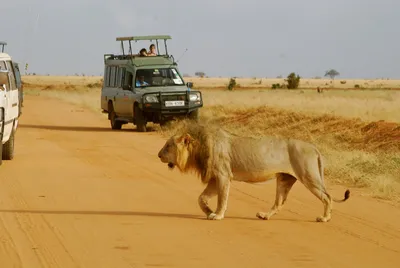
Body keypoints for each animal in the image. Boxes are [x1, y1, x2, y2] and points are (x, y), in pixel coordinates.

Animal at [157, 121, 350, 222]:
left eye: (167, 146)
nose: (158, 155)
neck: (198, 147)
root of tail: (314, 147)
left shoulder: (223, 175)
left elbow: (222, 198)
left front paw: (218, 215)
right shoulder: (215, 177)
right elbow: (201, 198)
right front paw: (208, 211)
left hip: (308, 176)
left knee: (327, 197)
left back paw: (324, 218)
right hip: (285, 179)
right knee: (279, 202)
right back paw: (264, 216)